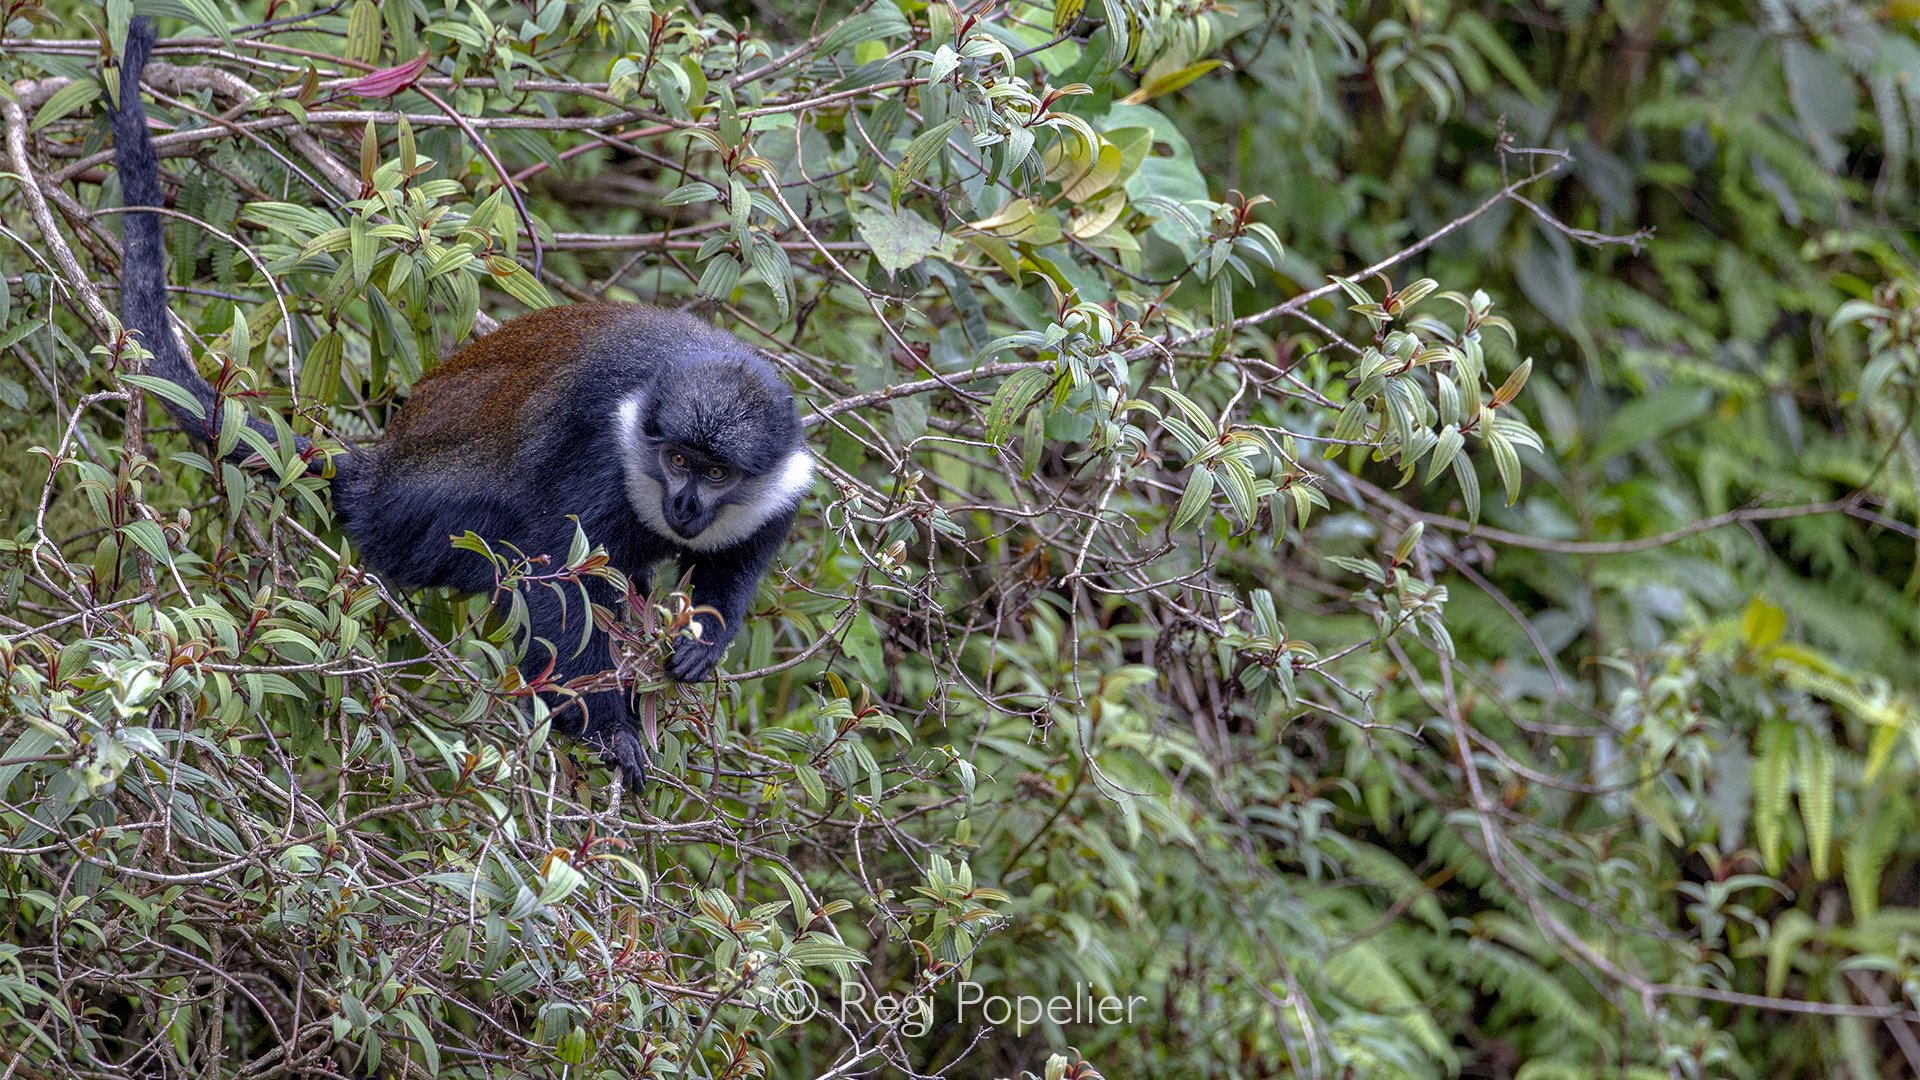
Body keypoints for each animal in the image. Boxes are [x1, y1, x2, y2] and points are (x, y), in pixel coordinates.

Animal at [106, 17, 812, 789]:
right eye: (678, 459)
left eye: (715, 473)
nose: (684, 504)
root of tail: (381, 473)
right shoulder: (601, 459)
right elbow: (555, 581)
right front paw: (610, 730)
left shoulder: (778, 486)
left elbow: (732, 564)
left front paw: (702, 642)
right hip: (433, 518)